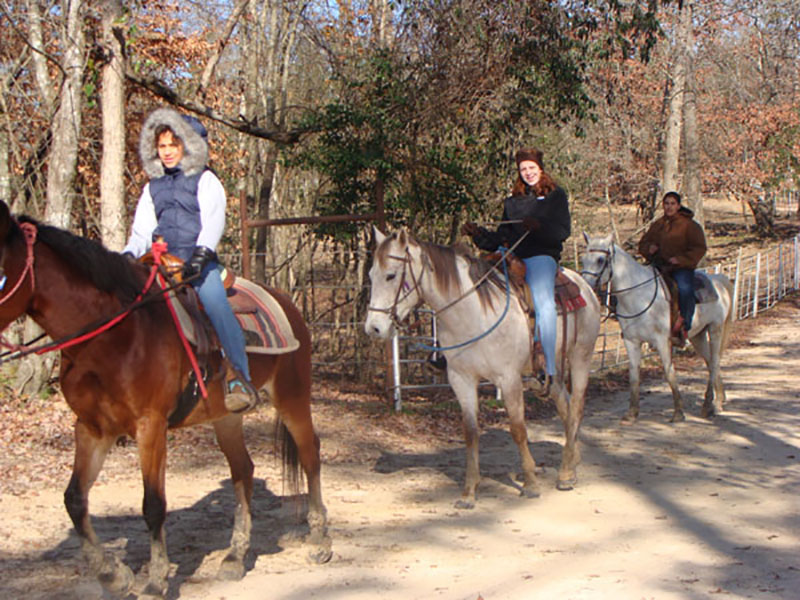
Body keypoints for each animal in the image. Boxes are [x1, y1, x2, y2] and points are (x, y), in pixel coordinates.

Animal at [0, 200, 328, 596]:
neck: (115, 335)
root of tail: (286, 302)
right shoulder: (93, 429)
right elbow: (74, 499)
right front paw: (113, 574)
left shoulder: (150, 426)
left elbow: (153, 505)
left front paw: (156, 581)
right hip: (225, 417)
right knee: (243, 471)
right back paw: (235, 557)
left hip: (293, 396)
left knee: (310, 454)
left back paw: (320, 540)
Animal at [364, 227, 600, 504]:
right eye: (371, 275)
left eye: (391, 275)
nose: (373, 328)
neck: (473, 313)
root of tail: (583, 285)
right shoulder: (461, 379)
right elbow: (470, 432)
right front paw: (469, 491)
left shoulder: (509, 379)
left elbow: (518, 429)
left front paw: (530, 483)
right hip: (554, 369)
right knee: (564, 405)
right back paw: (571, 464)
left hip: (581, 356)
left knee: (576, 408)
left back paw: (564, 474)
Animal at [580, 233, 736, 422]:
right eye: (583, 259)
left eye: (601, 259)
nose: (587, 286)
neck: (639, 297)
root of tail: (718, 280)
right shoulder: (632, 342)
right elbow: (634, 376)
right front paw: (632, 413)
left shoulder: (662, 341)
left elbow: (669, 372)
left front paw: (678, 412)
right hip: (698, 336)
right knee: (711, 362)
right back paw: (718, 400)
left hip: (715, 329)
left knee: (714, 362)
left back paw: (710, 405)